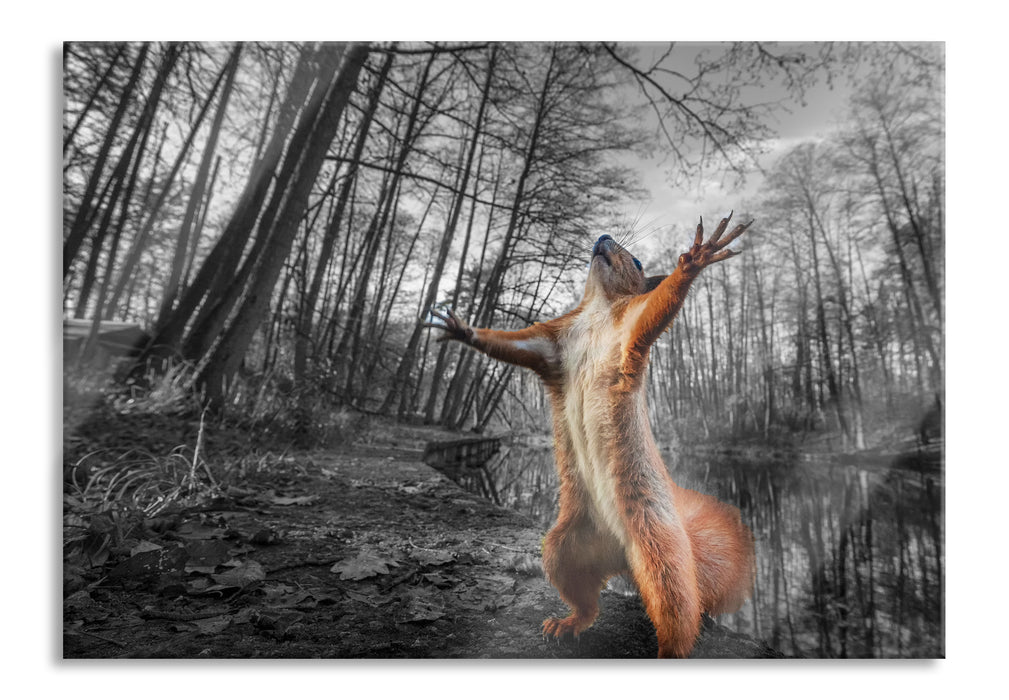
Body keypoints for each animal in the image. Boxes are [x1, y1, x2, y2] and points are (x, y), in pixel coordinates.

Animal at [427, 213, 756, 658]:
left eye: (636, 260)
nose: (603, 238)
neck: (598, 308)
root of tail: (623, 557)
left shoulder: (631, 327)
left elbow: (660, 306)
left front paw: (694, 260)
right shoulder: (551, 345)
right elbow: (510, 345)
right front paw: (463, 330)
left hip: (661, 552)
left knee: (677, 611)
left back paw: (668, 648)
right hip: (565, 547)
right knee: (587, 600)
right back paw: (568, 623)